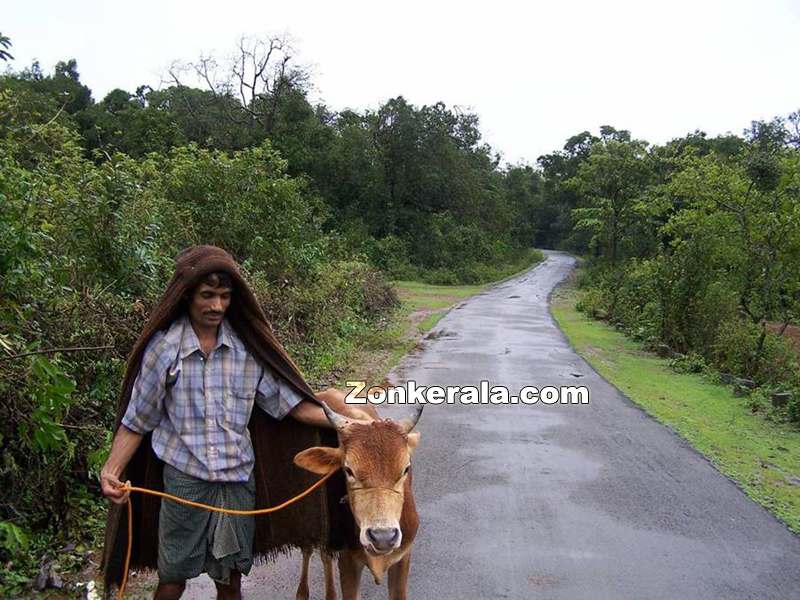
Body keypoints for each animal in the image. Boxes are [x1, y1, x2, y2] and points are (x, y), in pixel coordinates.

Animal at [292, 386, 418, 596]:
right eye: (348, 470)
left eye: (405, 469)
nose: (383, 537)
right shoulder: (348, 562)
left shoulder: (403, 558)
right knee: (310, 550)